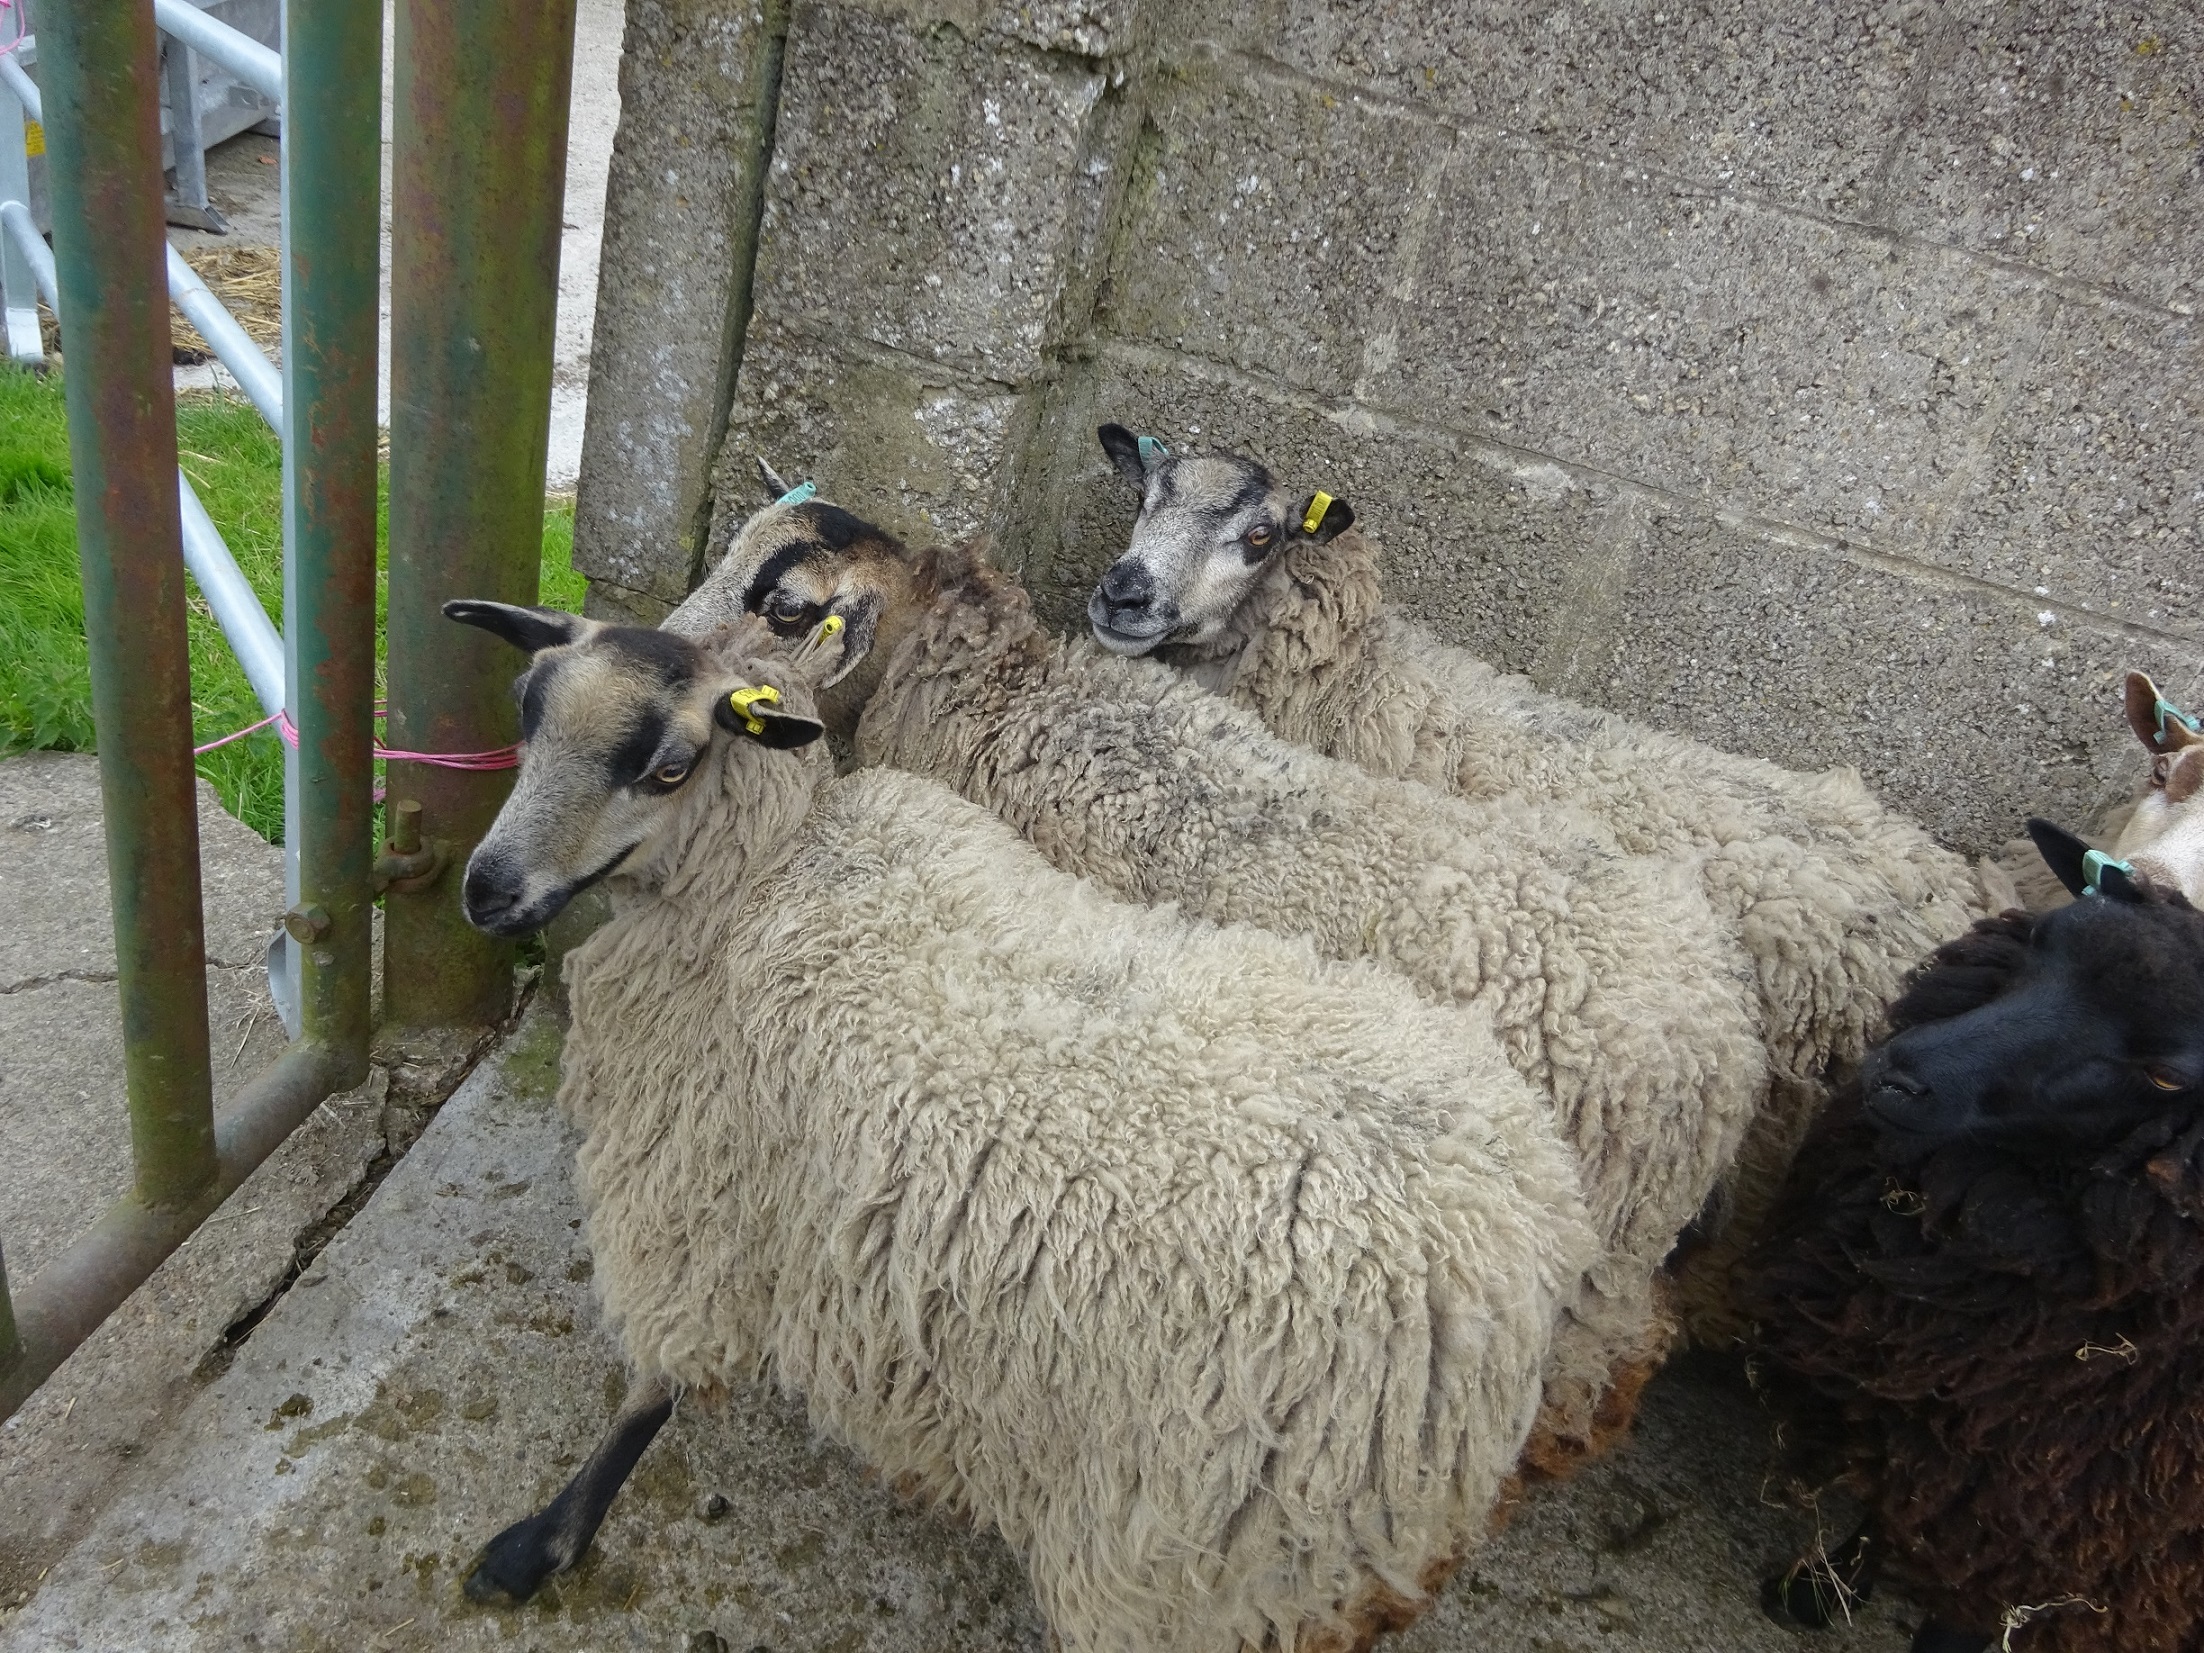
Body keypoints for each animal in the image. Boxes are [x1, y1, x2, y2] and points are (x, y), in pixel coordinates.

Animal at [439, 600, 1600, 1653]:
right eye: (527, 711)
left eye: (671, 765)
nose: (487, 892)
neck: (763, 878)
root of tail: (1512, 1270)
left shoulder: (693, 1176)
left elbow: (653, 1381)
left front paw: (544, 1542)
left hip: (1183, 1540)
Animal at [1742, 818, 2204, 1653]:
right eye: (2049, 934)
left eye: (2164, 1076)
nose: (1897, 1077)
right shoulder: (1946, 1452)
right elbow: (1890, 1516)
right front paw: (1818, 1591)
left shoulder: (2047, 1543)